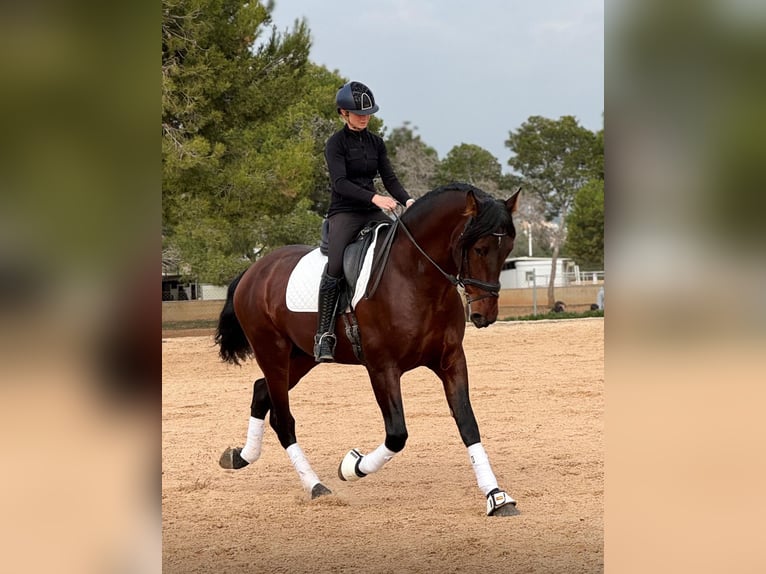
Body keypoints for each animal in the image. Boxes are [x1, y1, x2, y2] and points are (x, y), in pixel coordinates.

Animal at [216, 182, 522, 516]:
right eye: (479, 249)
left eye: (507, 250)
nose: (484, 315)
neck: (414, 276)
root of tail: (254, 271)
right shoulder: (382, 369)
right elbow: (397, 435)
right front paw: (352, 466)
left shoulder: (451, 361)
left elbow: (467, 423)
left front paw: (497, 497)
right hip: (273, 354)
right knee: (282, 419)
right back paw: (316, 486)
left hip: (302, 357)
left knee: (261, 392)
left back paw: (240, 457)